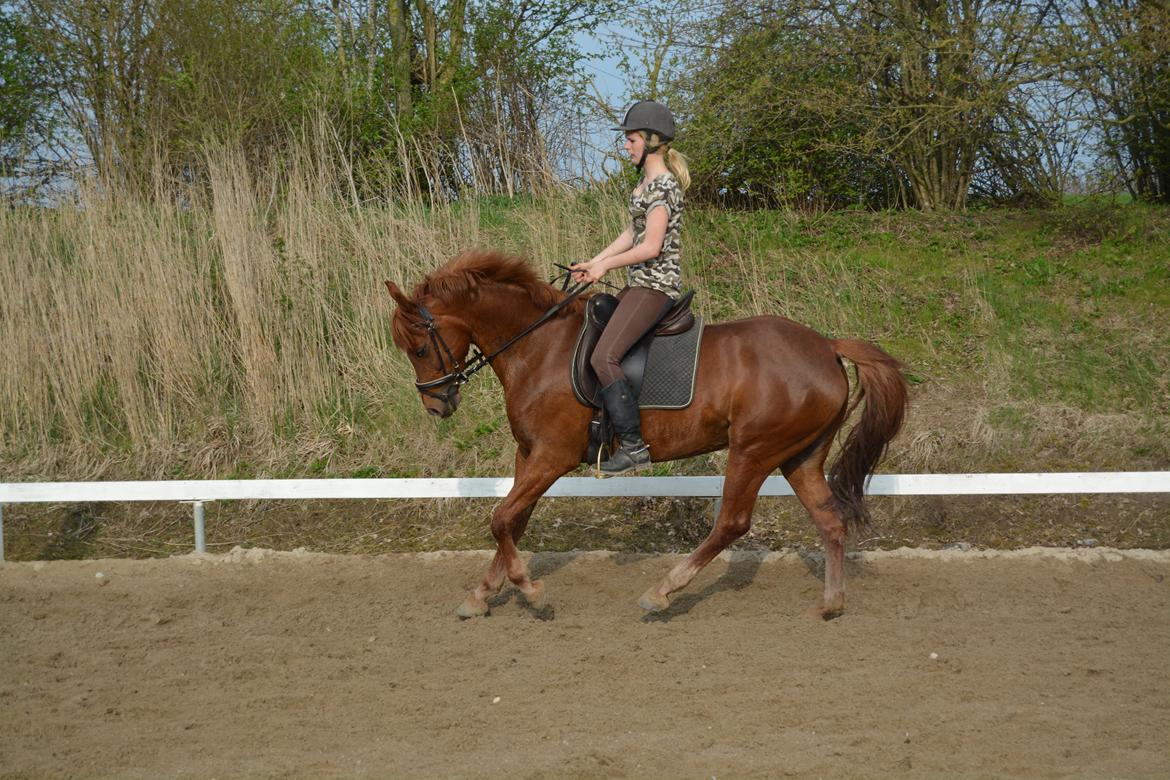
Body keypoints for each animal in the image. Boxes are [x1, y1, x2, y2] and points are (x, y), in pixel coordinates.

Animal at [388, 246, 907, 617]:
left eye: (419, 348)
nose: (436, 405)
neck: (538, 346)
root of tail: (827, 346)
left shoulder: (552, 456)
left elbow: (500, 517)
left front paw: (532, 593)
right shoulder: (528, 454)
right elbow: (513, 519)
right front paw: (481, 595)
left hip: (754, 450)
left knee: (732, 522)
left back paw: (662, 591)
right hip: (799, 455)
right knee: (829, 519)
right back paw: (832, 603)